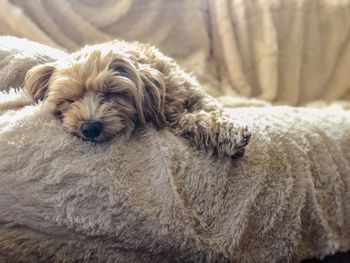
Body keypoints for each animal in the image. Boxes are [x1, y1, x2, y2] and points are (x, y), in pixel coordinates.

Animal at [23, 40, 250, 158]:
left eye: (111, 93)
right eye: (70, 99)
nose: (90, 128)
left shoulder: (191, 91)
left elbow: (209, 105)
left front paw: (230, 130)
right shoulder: (172, 116)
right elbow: (191, 120)